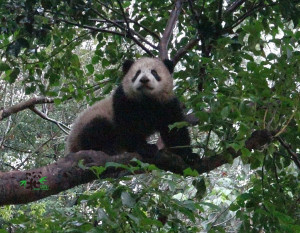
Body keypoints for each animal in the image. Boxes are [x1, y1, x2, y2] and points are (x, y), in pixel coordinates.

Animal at [67, 57, 196, 162]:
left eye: (154, 72)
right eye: (137, 73)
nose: (144, 80)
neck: (147, 100)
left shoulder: (167, 103)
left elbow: (174, 128)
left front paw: (188, 155)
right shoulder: (124, 100)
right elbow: (129, 127)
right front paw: (146, 148)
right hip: (87, 123)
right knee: (96, 128)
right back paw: (106, 148)